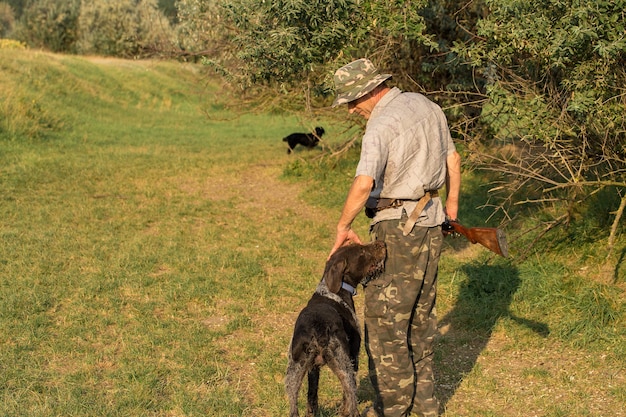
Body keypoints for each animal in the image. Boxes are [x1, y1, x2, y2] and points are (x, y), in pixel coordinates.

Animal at [284, 240, 382, 416]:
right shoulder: (354, 356)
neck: (331, 291)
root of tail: (318, 329)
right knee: (351, 399)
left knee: (294, 406)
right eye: (362, 250)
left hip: (294, 371)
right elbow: (346, 398)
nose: (381, 243)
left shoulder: (313, 368)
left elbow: (312, 395)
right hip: (344, 365)